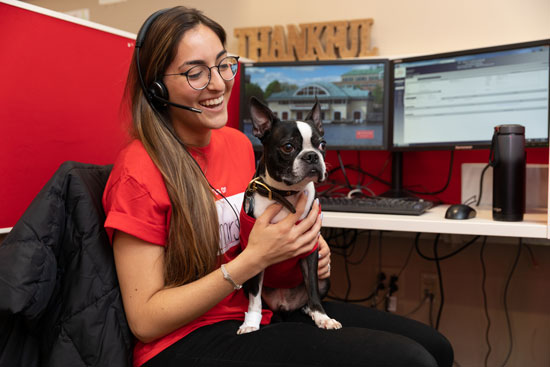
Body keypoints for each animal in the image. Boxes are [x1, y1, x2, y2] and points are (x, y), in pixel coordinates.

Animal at [239, 97, 342, 336]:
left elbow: (312, 287)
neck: (287, 196)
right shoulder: (254, 255)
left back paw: (309, 310)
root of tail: (284, 305)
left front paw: (322, 317)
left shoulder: (311, 251)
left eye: (322, 144)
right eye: (288, 147)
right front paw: (251, 323)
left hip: (326, 278)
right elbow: (255, 298)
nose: (312, 156)